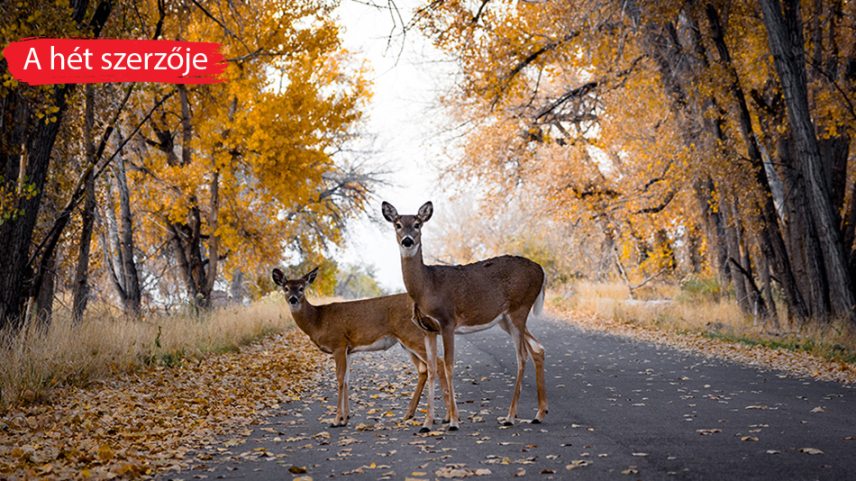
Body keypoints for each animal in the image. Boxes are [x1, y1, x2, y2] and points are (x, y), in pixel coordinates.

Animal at [272, 266, 448, 428]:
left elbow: (340, 379)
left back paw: (444, 417)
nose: (293, 299)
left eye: (301, 288)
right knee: (423, 369)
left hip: (413, 336)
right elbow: (347, 380)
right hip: (406, 342)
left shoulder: (338, 344)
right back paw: (409, 414)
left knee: (438, 363)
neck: (318, 321)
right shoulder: (349, 349)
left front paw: (336, 420)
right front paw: (346, 418)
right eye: (285, 288)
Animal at [382, 201, 548, 430]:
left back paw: (510, 417)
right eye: (397, 224)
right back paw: (538, 414)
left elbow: (449, 365)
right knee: (537, 348)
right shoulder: (427, 329)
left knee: (522, 356)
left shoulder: (447, 322)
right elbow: (432, 369)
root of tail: (542, 270)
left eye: (417, 224)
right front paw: (427, 423)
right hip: (505, 319)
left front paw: (453, 421)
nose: (408, 240)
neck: (427, 286)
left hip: (519, 309)